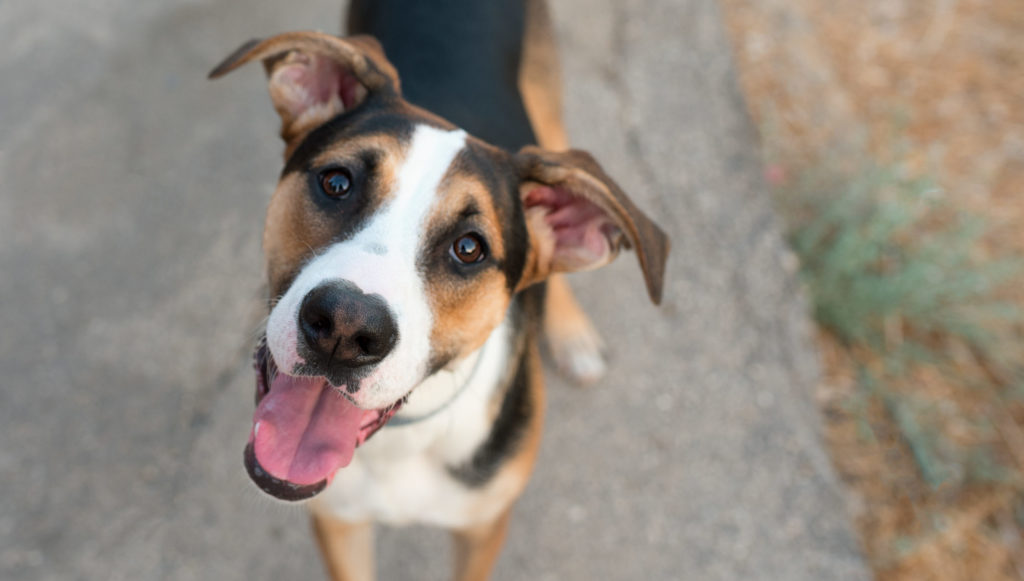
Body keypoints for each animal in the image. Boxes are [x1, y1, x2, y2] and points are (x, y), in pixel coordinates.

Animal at [210, 2, 667, 577]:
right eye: (336, 182)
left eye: (469, 248)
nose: (345, 328)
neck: (403, 438)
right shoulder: (338, 522)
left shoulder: (483, 525)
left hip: (548, 114)